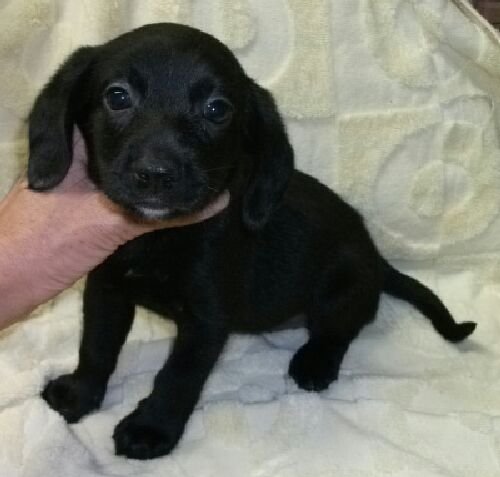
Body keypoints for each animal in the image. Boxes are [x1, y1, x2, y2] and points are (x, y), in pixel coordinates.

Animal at [28, 23, 476, 460]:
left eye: (217, 109)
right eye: (117, 96)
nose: (155, 175)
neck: (157, 237)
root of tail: (378, 257)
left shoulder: (206, 321)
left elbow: (177, 377)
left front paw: (151, 429)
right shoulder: (106, 290)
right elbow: (96, 346)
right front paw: (81, 394)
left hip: (340, 290)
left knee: (343, 328)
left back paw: (315, 363)